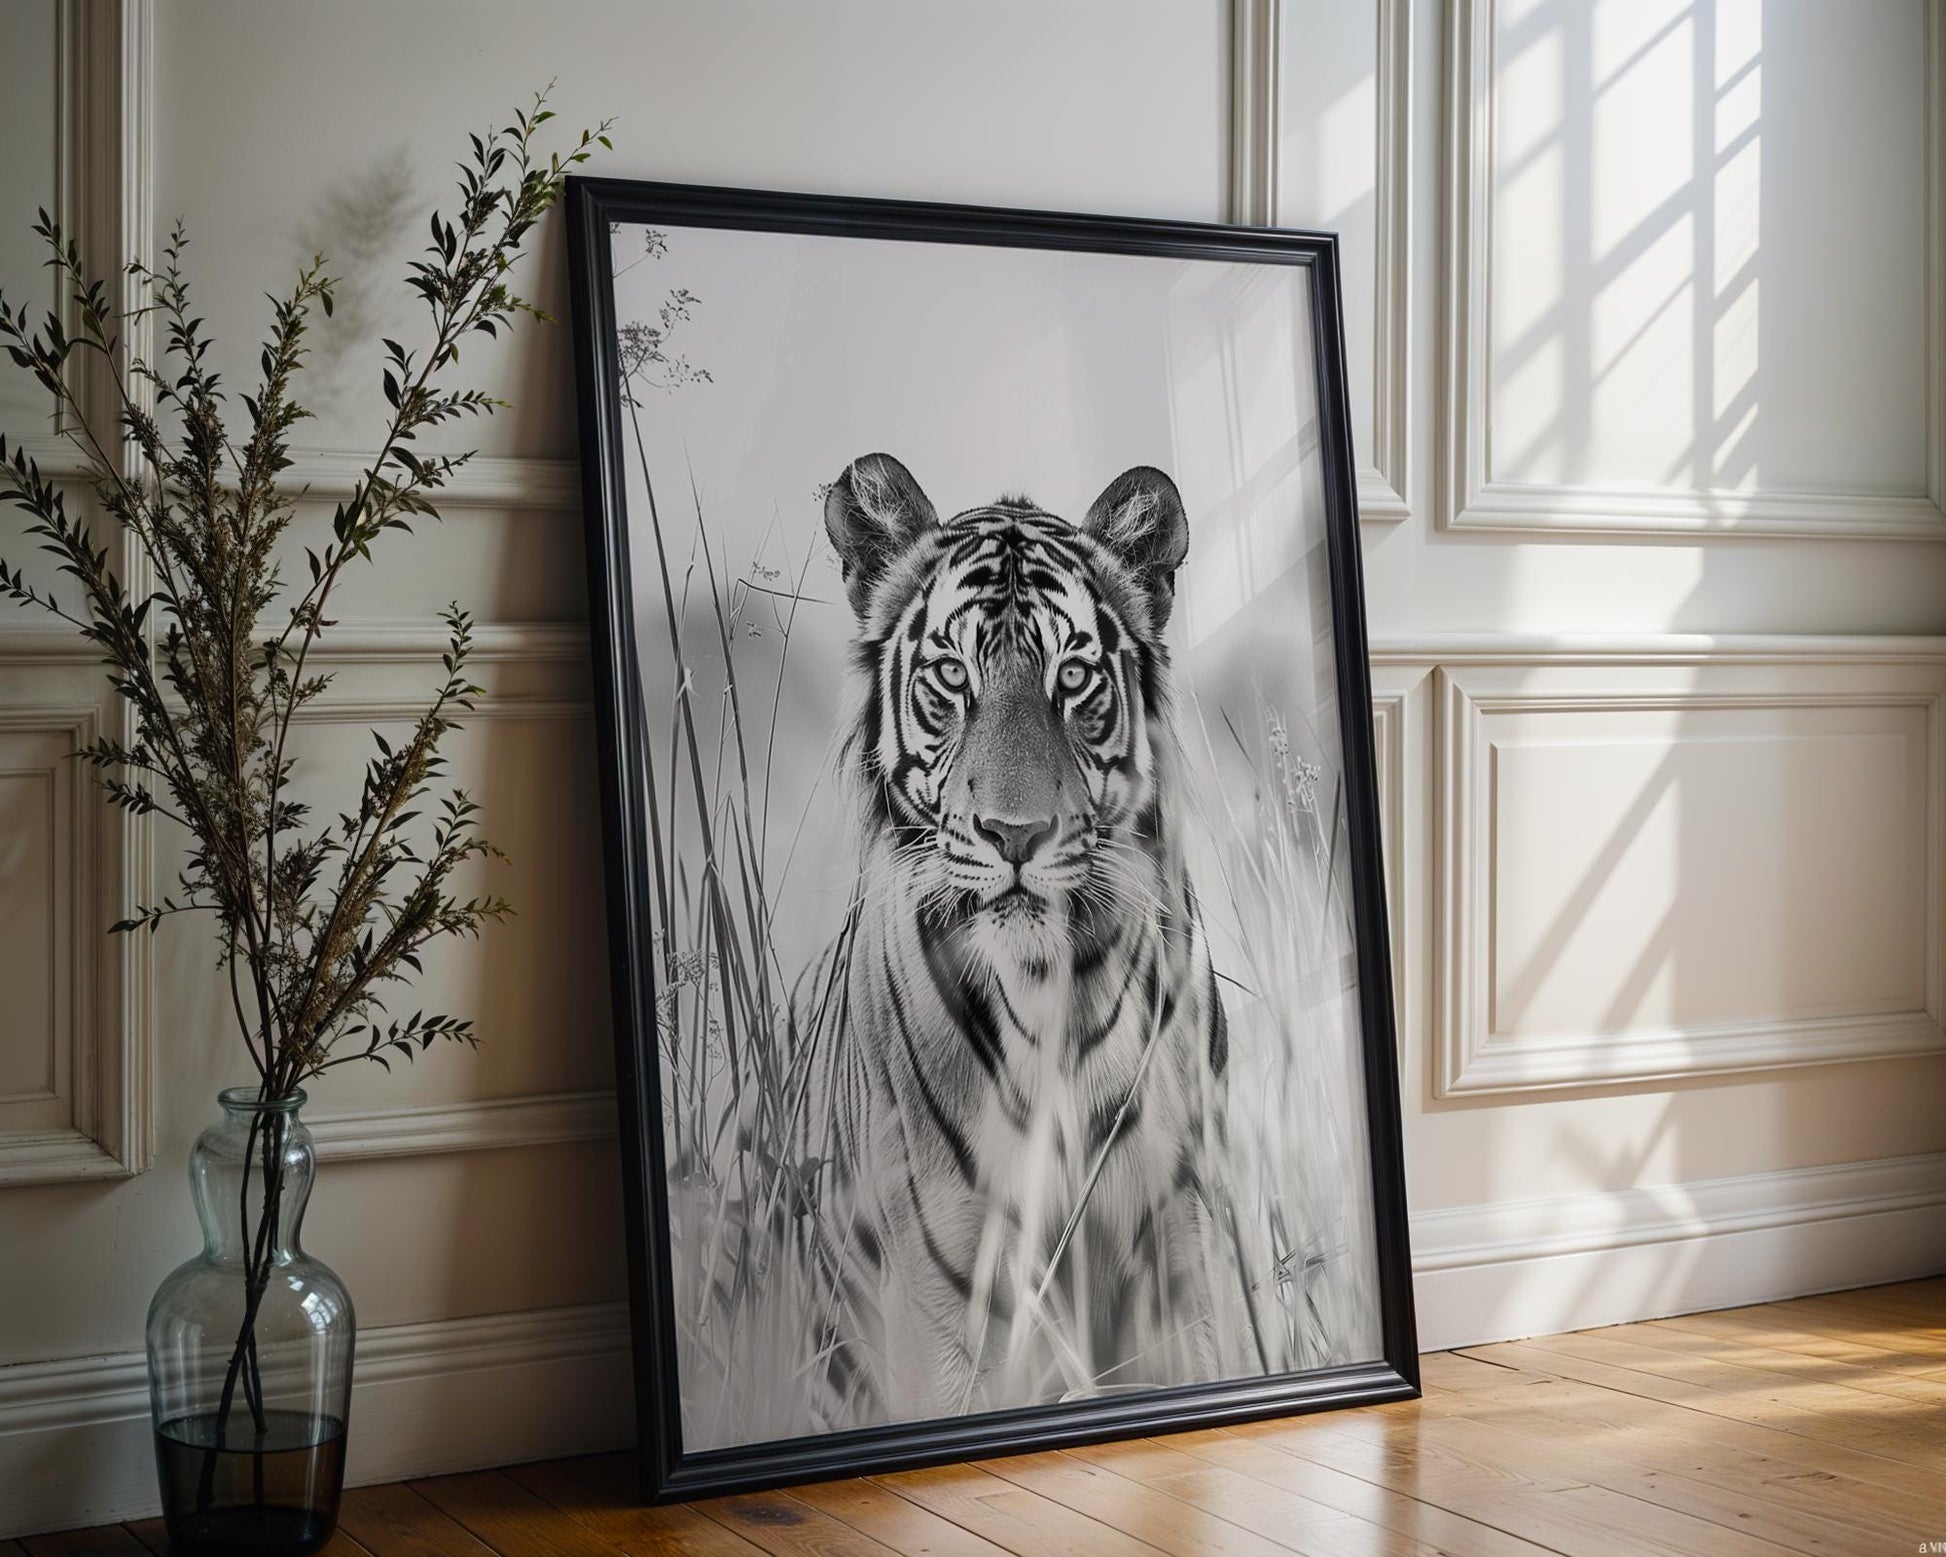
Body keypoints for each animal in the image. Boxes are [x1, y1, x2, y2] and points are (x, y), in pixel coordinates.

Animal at [797, 451, 1232, 1425]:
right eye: (951, 678)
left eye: (1072, 679)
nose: (1016, 833)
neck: (1050, 993)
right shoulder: (942, 1283)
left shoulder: (1173, 1241)